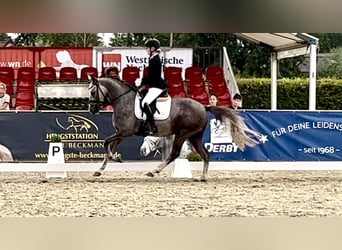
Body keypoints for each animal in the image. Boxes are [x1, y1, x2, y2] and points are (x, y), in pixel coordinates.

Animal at [89, 76, 262, 182]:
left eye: (92, 91)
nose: (92, 110)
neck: (123, 100)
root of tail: (203, 106)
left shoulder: (125, 132)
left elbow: (106, 143)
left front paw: (114, 159)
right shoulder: (121, 134)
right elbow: (109, 147)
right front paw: (100, 170)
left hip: (182, 134)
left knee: (174, 154)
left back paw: (154, 171)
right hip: (194, 136)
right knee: (205, 154)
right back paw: (203, 177)